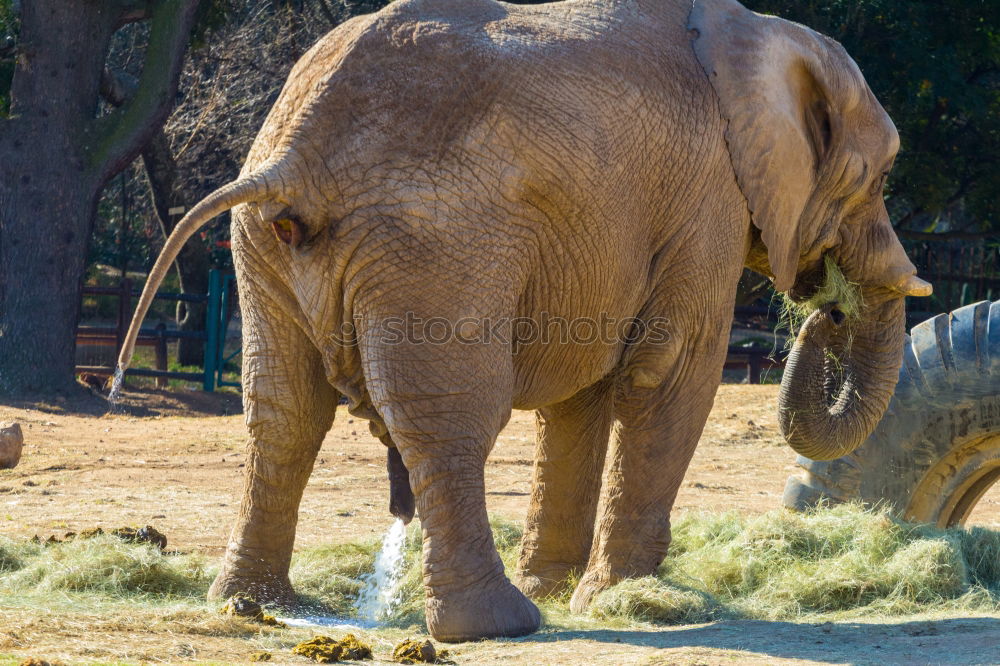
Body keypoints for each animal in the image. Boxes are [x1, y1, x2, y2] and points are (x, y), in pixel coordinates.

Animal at [117, 0, 928, 640]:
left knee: (283, 412)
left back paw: (256, 607)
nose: (826, 309)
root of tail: (296, 156)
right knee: (448, 417)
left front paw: (565, 588)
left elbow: (581, 396)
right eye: (883, 175)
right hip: (439, 242)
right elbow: (669, 372)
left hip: (261, 244)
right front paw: (624, 600)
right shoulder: (709, 199)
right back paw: (498, 624)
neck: (758, 34)